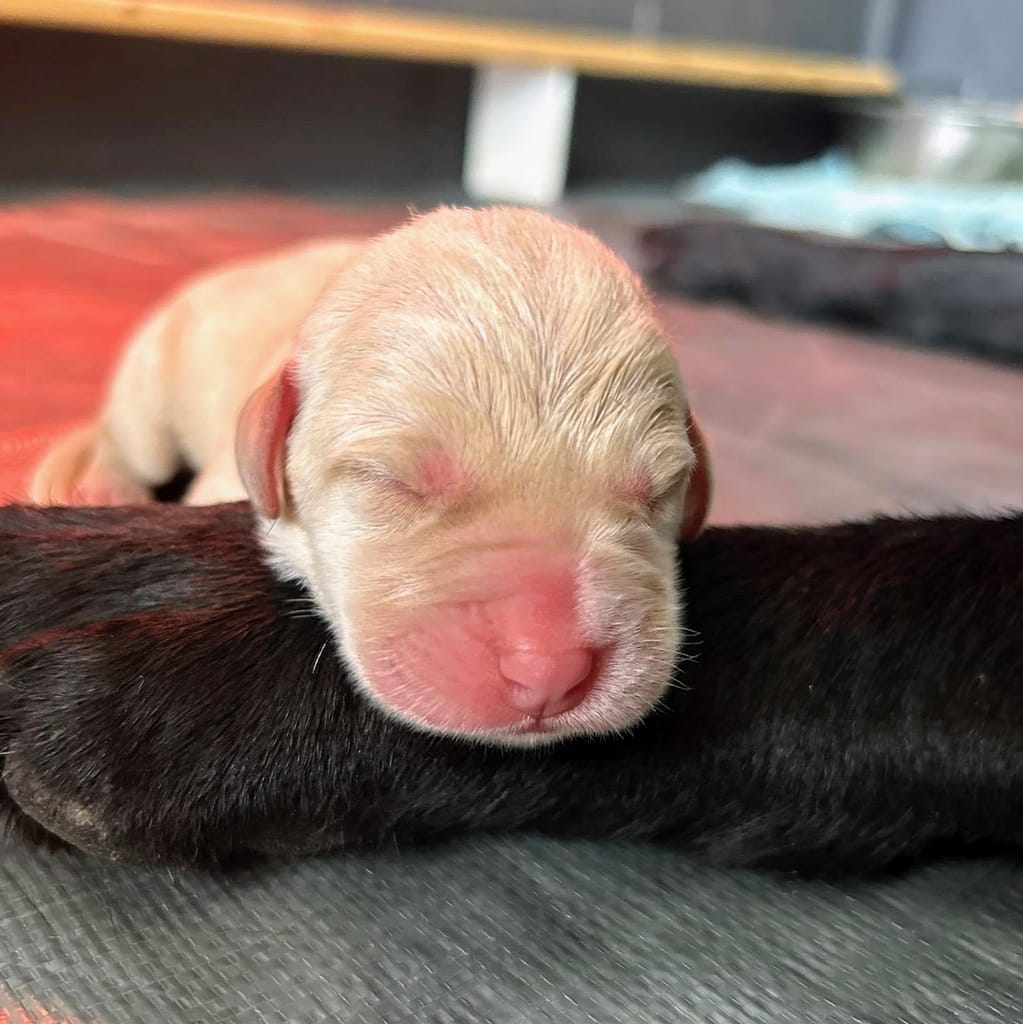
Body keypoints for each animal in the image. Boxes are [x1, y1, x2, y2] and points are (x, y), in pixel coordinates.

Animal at [28, 209, 708, 753]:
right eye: (393, 483)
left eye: (659, 493)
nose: (549, 673)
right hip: (154, 383)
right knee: (125, 441)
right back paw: (99, 486)